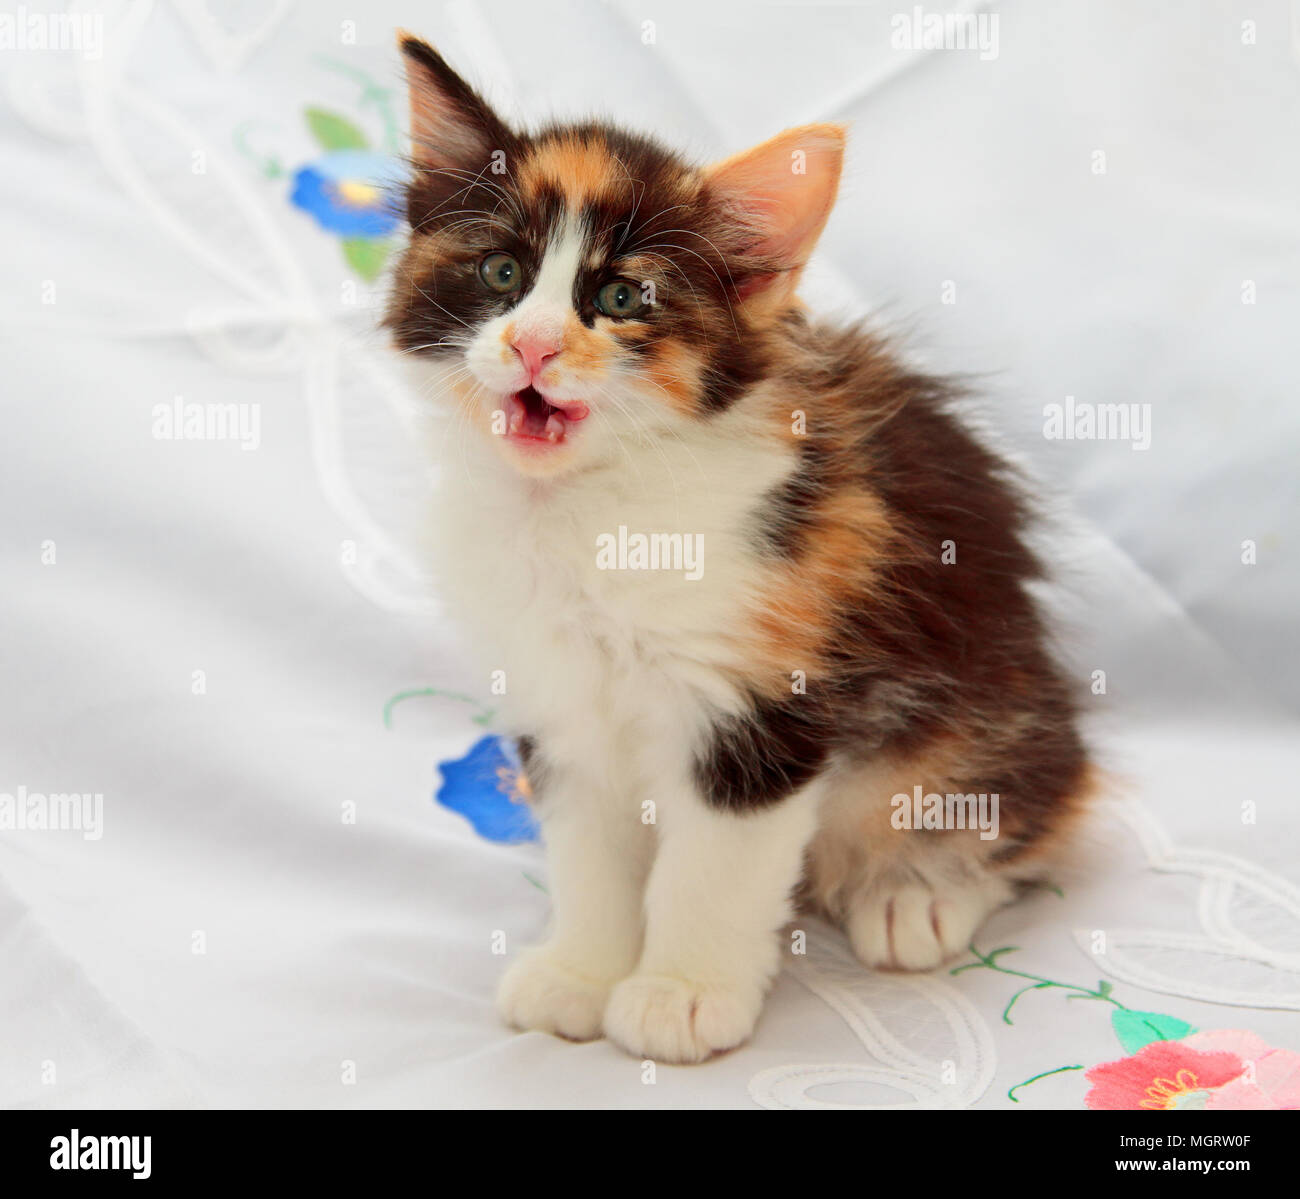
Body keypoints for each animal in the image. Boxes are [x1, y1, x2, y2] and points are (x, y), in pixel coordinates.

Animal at [387, 35, 1097, 1066]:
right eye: (500, 275)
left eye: (621, 296)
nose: (533, 346)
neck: (586, 512)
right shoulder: (556, 696)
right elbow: (587, 848)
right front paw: (582, 974)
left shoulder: (765, 691)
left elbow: (712, 865)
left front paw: (680, 995)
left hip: (985, 703)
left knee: (1021, 811)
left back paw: (913, 892)